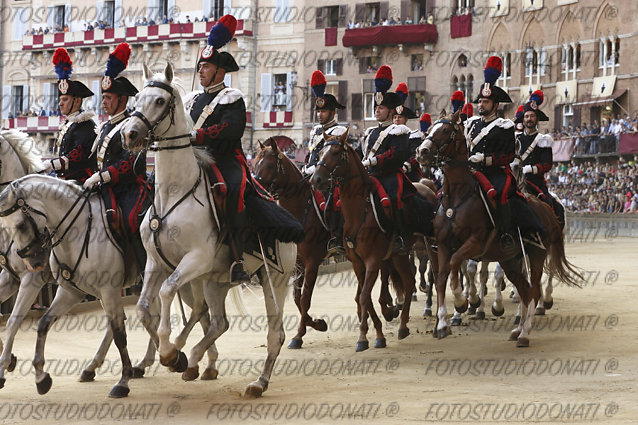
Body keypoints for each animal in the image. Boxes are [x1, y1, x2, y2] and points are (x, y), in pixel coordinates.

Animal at [121, 63, 298, 398]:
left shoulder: (196, 259)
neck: (174, 193)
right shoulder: (155, 264)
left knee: (276, 333)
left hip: (274, 281)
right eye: (135, 99)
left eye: (160, 101)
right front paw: (171, 354)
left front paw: (169, 352)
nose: (129, 134)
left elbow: (166, 293)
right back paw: (192, 360)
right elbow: (143, 308)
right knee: (218, 322)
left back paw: (258, 382)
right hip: (215, 282)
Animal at [310, 128, 430, 352]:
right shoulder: (358, 262)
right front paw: (376, 334)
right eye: (320, 151)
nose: (316, 179)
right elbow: (363, 297)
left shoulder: (373, 260)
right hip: (399, 254)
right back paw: (403, 325)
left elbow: (365, 296)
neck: (359, 210)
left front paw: (365, 337)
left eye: (336, 153)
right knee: (409, 282)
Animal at [418, 108, 584, 344]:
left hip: (536, 254)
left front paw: (463, 303)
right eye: (431, 128)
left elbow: (455, 264)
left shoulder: (475, 242)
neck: (457, 199)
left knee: (535, 287)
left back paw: (526, 329)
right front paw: (443, 322)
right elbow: (442, 277)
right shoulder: (442, 244)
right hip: (511, 260)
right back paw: (518, 328)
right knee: (525, 289)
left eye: (446, 131)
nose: (422, 151)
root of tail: (545, 208)